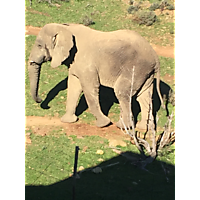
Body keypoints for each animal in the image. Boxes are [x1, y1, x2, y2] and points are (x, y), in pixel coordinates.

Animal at [27, 23, 162, 131]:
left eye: (39, 45)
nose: (40, 100)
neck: (66, 28)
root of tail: (155, 57)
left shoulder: (86, 63)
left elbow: (89, 88)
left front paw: (103, 124)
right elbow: (73, 86)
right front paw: (67, 121)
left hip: (135, 69)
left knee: (122, 92)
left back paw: (122, 127)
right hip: (146, 73)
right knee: (144, 96)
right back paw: (144, 127)